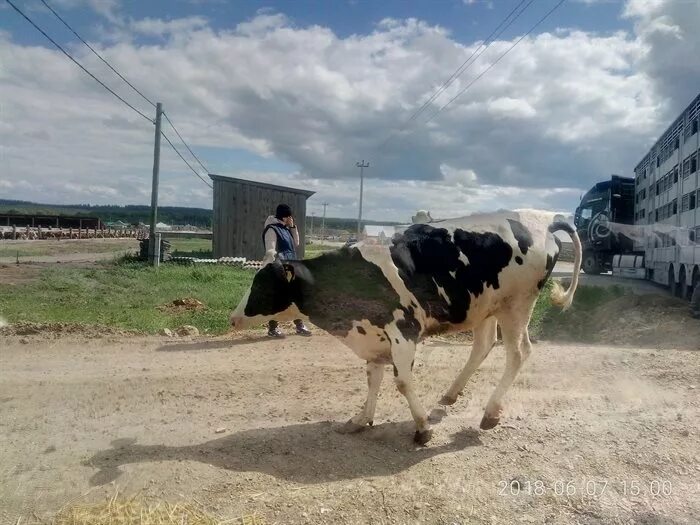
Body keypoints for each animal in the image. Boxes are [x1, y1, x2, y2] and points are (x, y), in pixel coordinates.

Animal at [230, 209, 580, 442]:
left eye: (262, 285)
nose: (232, 318)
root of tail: (542, 217)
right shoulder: (373, 335)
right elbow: (372, 379)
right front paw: (361, 419)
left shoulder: (403, 328)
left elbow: (401, 382)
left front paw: (422, 428)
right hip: (486, 306)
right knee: (483, 346)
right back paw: (448, 398)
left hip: (517, 304)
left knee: (518, 353)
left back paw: (490, 412)